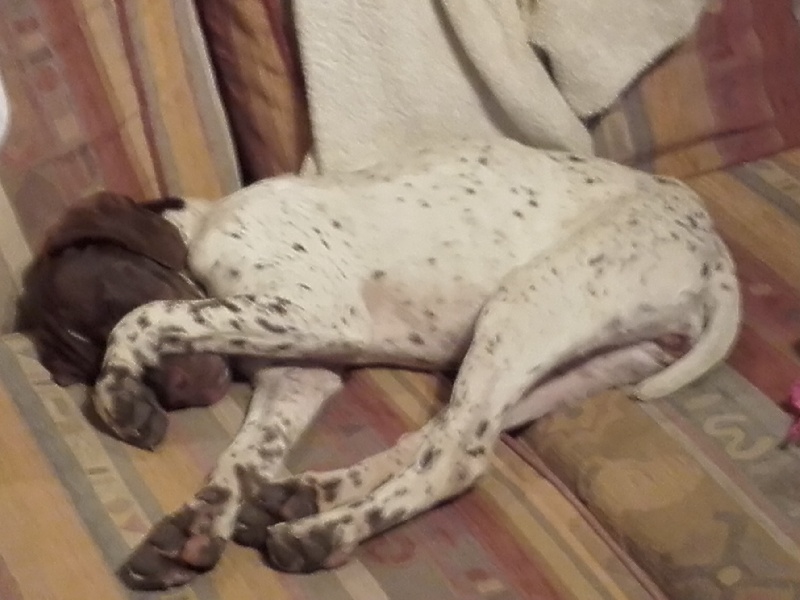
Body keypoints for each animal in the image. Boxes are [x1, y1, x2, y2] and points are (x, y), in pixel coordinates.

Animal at [85, 137, 739, 590]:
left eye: (91, 309)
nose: (178, 393)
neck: (208, 217)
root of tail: (713, 247)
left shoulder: (320, 311)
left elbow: (147, 315)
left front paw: (117, 388)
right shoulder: (299, 371)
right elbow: (240, 460)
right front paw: (197, 527)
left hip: (521, 304)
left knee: (455, 459)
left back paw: (324, 532)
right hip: (568, 359)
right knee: (439, 435)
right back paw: (311, 494)